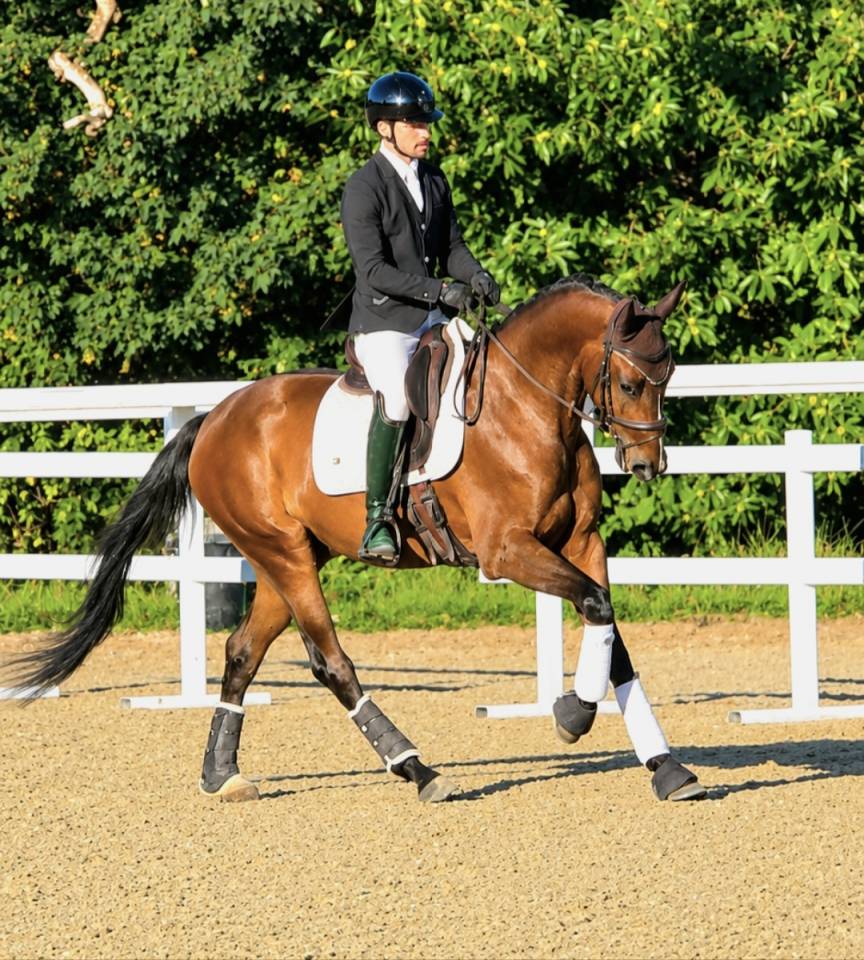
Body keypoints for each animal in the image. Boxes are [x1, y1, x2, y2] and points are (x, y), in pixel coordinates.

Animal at [8, 274, 706, 804]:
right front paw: (571, 717)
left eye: (669, 375)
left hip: (280, 560)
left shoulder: (581, 542)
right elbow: (595, 606)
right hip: (286, 555)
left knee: (241, 652)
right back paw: (416, 768)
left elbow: (610, 631)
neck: (525, 412)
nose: (648, 465)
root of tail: (213, 419)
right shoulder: (508, 551)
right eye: (632, 382)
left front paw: (666, 767)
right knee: (330, 662)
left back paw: (222, 774)